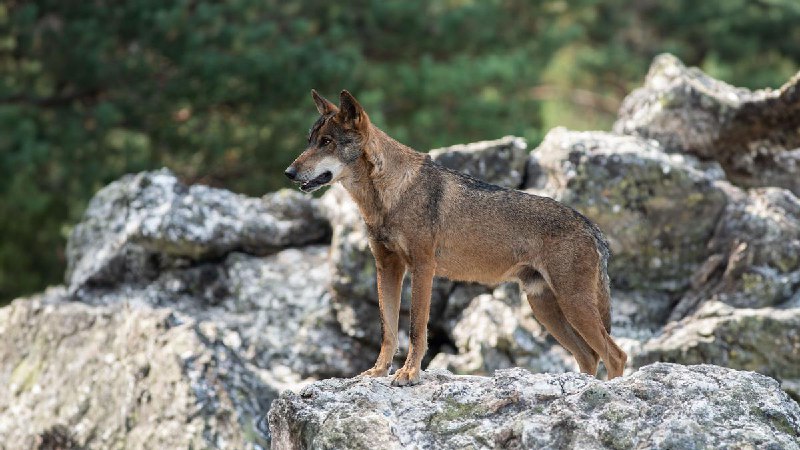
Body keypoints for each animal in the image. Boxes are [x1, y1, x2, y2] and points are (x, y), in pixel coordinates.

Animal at [284, 89, 628, 384]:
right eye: (310, 141)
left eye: (327, 142)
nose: (288, 172)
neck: (389, 195)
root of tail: (592, 227)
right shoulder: (387, 268)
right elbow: (388, 330)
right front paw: (378, 372)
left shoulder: (422, 268)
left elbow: (415, 329)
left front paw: (409, 374)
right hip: (546, 309)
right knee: (589, 357)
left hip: (571, 305)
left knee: (616, 355)